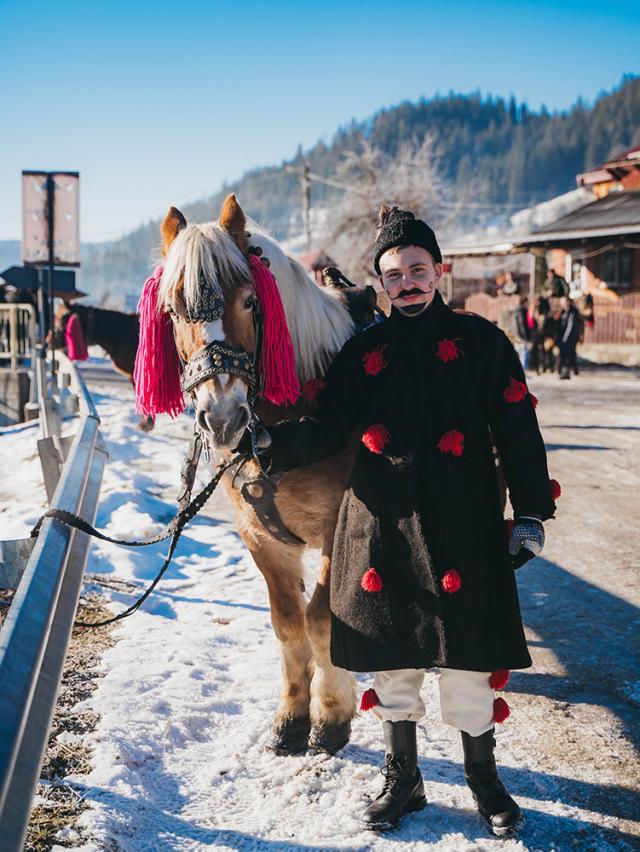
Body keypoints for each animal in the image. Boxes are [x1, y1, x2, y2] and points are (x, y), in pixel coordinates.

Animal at [139, 196, 376, 756]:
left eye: (250, 302)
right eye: (173, 311)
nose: (223, 416)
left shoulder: (338, 528)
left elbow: (321, 620)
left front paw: (331, 717)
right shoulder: (260, 537)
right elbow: (288, 623)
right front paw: (291, 718)